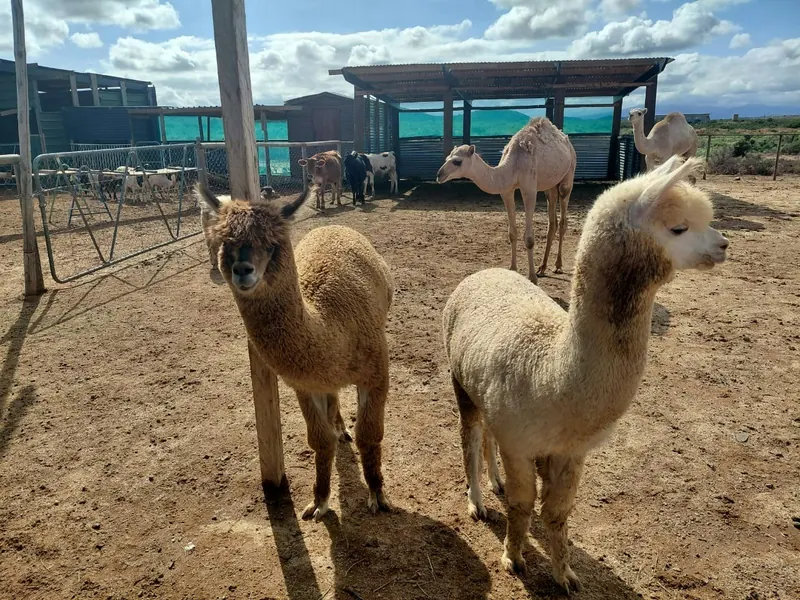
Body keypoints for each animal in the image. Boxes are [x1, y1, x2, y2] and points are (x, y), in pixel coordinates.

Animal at [197, 185, 394, 520]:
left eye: (270, 244)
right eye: (226, 242)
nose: (242, 270)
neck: (331, 327)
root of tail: (332, 226)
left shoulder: (377, 371)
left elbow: (369, 434)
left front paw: (377, 495)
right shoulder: (304, 384)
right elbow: (319, 441)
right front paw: (319, 502)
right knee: (333, 399)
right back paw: (339, 427)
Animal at [436, 117, 577, 284]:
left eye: (457, 161)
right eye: (447, 158)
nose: (439, 175)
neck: (514, 164)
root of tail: (567, 142)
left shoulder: (529, 188)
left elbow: (529, 238)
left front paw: (532, 278)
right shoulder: (506, 191)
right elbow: (512, 233)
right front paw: (513, 270)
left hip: (568, 176)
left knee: (562, 219)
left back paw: (558, 266)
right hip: (549, 186)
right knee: (552, 222)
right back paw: (542, 268)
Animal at [443, 156, 728, 592]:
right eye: (679, 227)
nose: (724, 244)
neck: (552, 373)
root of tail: (486, 272)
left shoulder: (569, 450)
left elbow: (558, 514)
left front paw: (565, 575)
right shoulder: (521, 442)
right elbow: (522, 505)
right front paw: (513, 557)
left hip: (485, 391)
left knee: (488, 434)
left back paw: (494, 481)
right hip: (460, 382)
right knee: (470, 438)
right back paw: (476, 500)